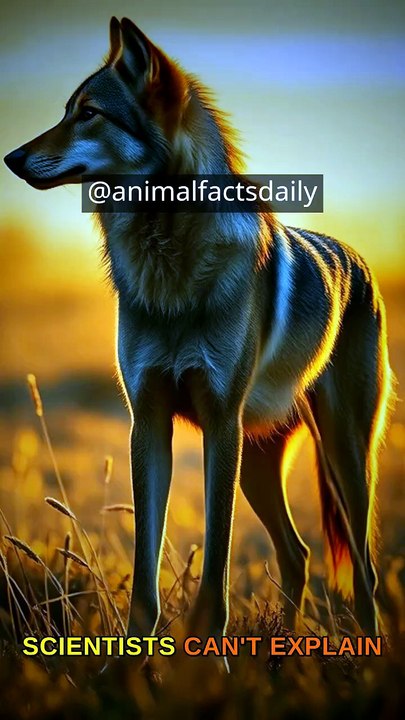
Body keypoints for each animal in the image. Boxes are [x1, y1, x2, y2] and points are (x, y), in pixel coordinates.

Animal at [4, 17, 393, 639]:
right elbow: (146, 571)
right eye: (67, 110)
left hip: (343, 457)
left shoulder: (218, 424)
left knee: (363, 571)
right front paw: (137, 656)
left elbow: (215, 567)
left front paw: (206, 650)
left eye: (89, 112)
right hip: (258, 461)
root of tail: (360, 262)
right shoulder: (148, 423)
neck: (166, 259)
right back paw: (282, 644)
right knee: (298, 554)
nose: (12, 157)